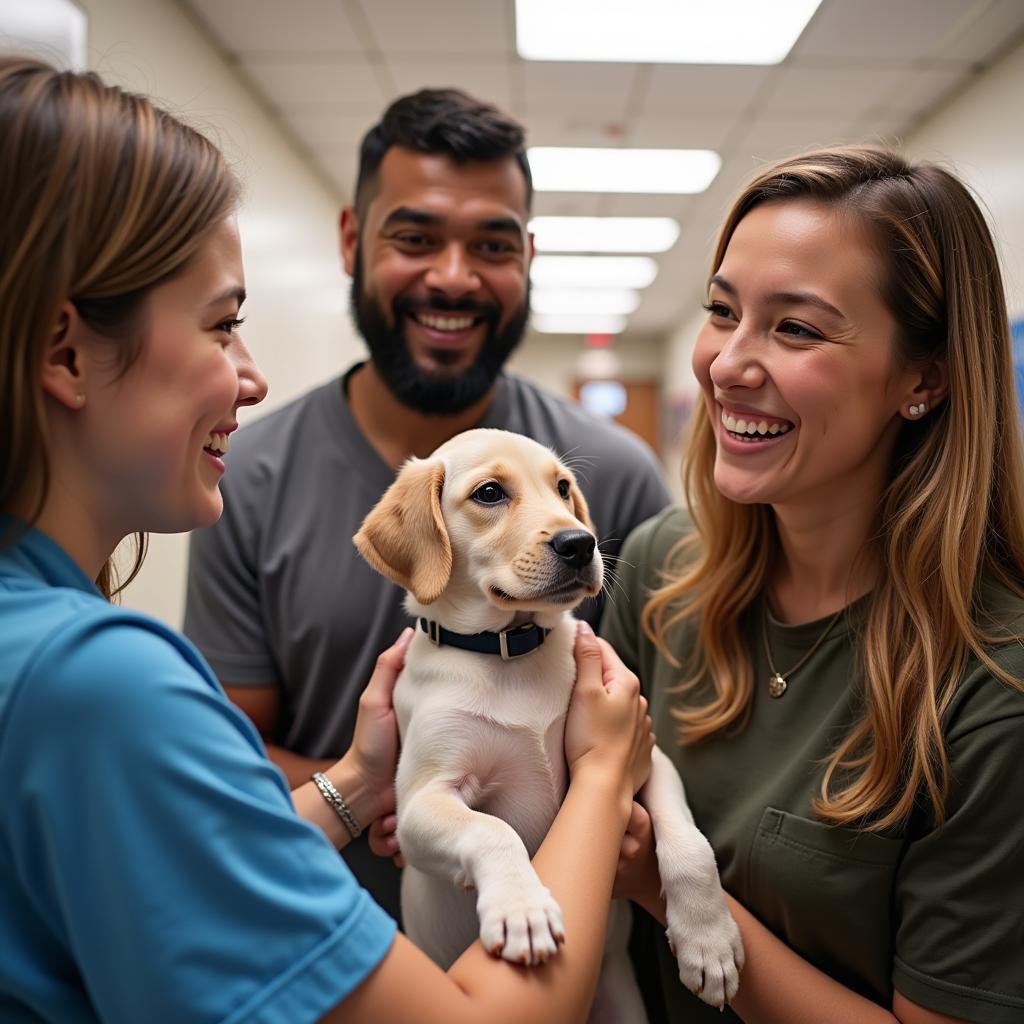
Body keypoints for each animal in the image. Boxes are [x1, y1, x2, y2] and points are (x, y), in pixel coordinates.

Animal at [356, 428, 741, 1011]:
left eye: (562, 488)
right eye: (490, 493)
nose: (580, 543)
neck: (510, 651)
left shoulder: (649, 756)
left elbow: (689, 843)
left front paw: (709, 940)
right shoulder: (420, 801)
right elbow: (491, 829)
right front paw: (524, 909)